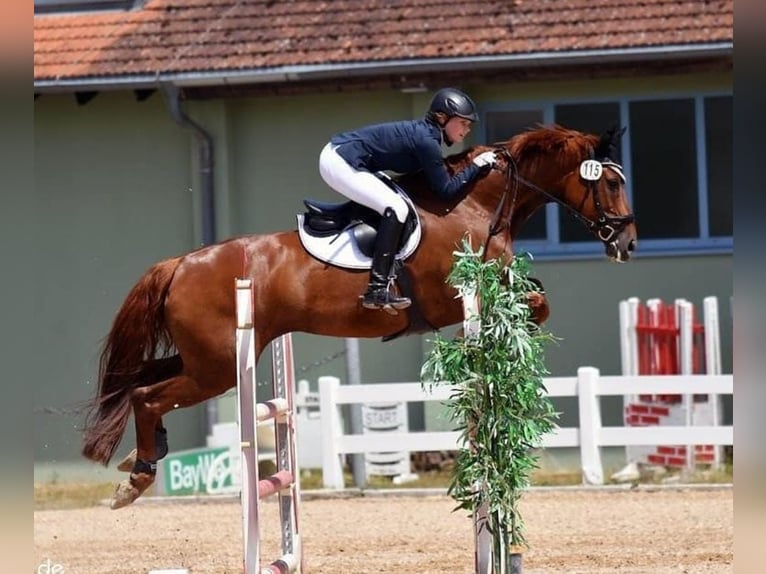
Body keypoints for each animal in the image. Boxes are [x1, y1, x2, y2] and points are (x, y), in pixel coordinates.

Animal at [82, 125, 636, 508]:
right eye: (610, 182)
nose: (628, 243)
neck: (473, 203)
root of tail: (180, 263)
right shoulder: (454, 295)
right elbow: (533, 304)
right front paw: (503, 343)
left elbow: (535, 297)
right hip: (217, 368)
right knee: (147, 395)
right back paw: (138, 477)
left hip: (207, 359)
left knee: (139, 383)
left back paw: (141, 456)